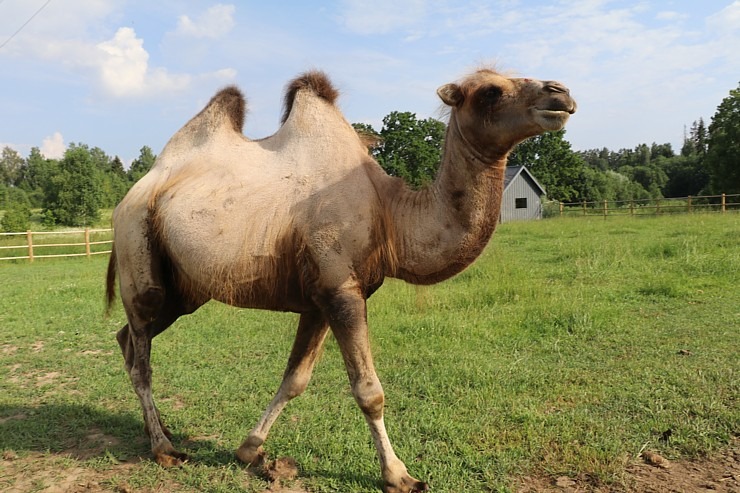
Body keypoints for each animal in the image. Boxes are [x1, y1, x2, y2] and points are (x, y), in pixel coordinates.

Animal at [105, 66, 580, 492]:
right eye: (489, 91)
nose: (560, 93)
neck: (389, 215)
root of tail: (129, 196)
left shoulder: (318, 298)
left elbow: (295, 380)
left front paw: (251, 450)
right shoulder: (341, 290)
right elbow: (369, 390)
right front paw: (399, 476)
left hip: (184, 291)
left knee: (126, 338)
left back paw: (161, 428)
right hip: (140, 255)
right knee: (141, 355)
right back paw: (164, 448)